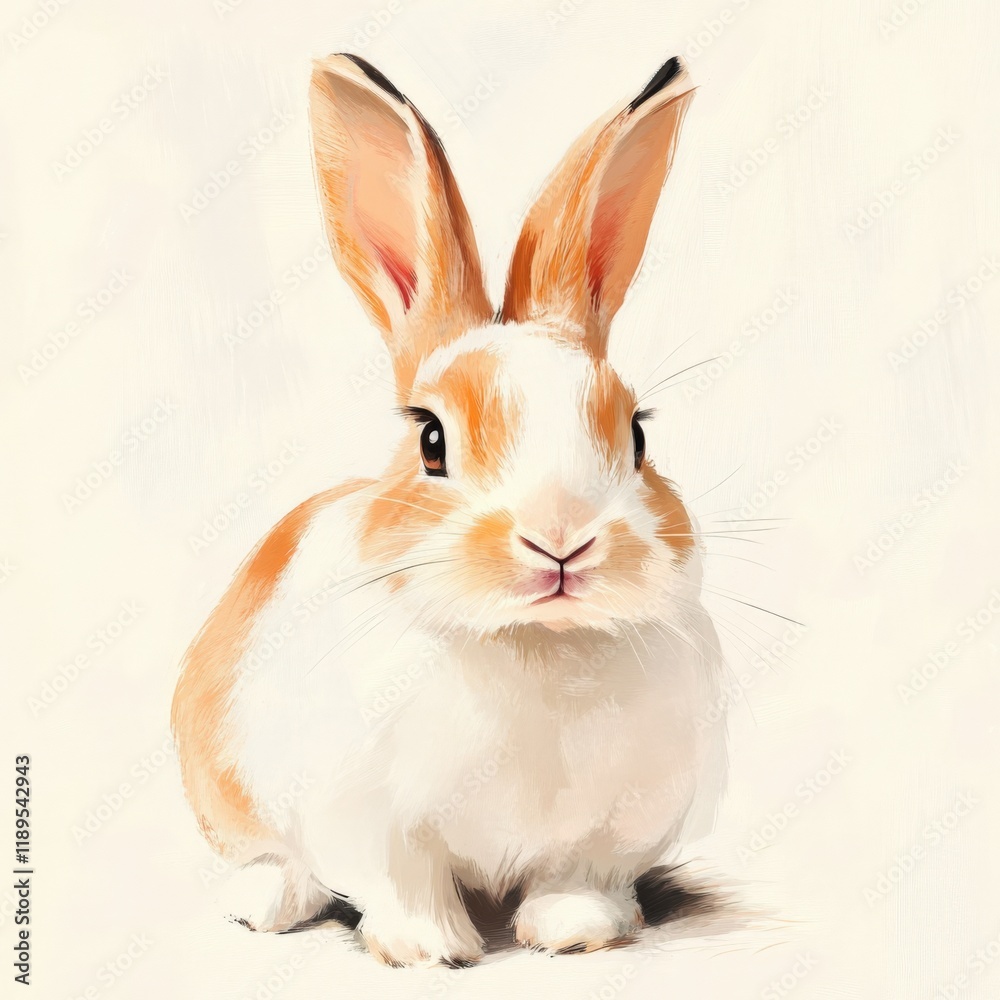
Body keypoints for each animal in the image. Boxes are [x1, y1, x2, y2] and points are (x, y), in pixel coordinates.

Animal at [171, 52, 727, 967]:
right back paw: (264, 905)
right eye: (431, 439)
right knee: (270, 857)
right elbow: (404, 883)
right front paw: (432, 950)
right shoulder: (370, 820)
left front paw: (576, 934)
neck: (533, 643)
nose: (561, 540)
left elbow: (578, 877)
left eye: (637, 434)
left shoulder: (612, 829)